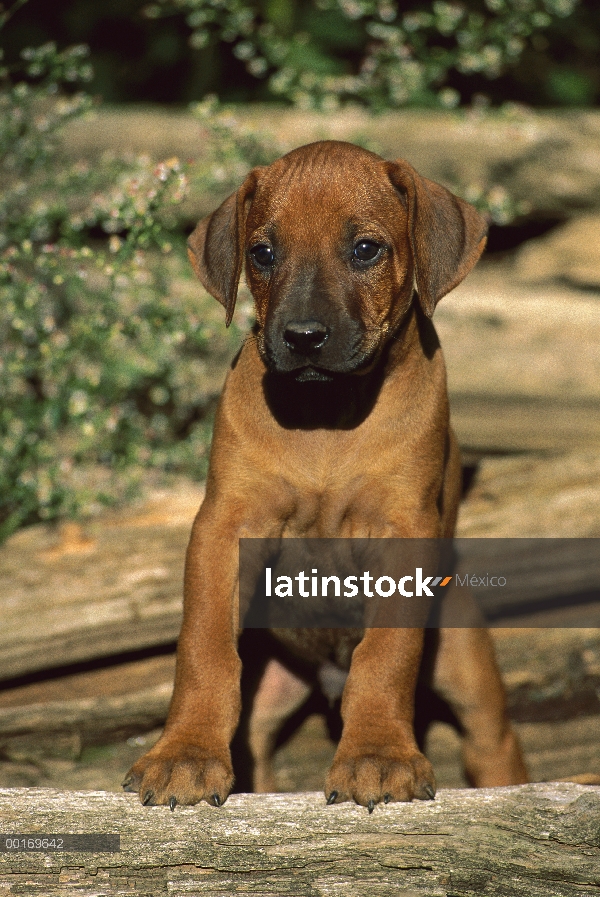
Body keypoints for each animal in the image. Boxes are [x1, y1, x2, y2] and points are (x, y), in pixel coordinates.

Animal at [125, 142, 524, 812]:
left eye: (365, 249)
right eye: (262, 252)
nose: (303, 338)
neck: (326, 421)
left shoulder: (404, 530)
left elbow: (387, 655)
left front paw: (378, 756)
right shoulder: (225, 527)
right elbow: (204, 649)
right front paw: (185, 753)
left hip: (464, 662)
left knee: (491, 739)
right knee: (256, 740)